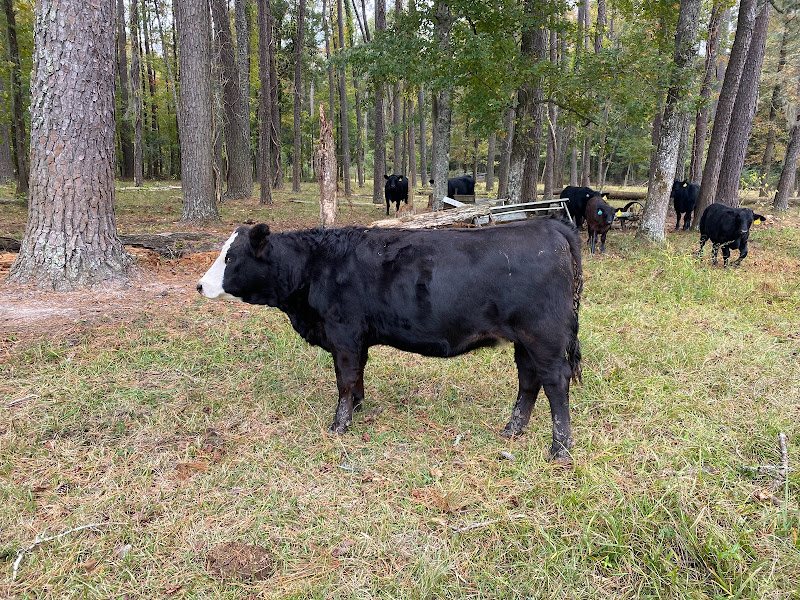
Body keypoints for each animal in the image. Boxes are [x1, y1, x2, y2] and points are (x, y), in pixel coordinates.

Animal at [197, 219, 584, 462]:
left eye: (230, 256)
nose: (199, 285)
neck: (314, 266)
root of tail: (549, 226)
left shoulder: (343, 333)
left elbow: (344, 379)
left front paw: (339, 426)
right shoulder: (357, 339)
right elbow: (357, 377)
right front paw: (357, 408)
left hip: (543, 336)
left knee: (555, 382)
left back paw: (560, 450)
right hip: (526, 341)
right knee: (528, 381)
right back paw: (512, 430)